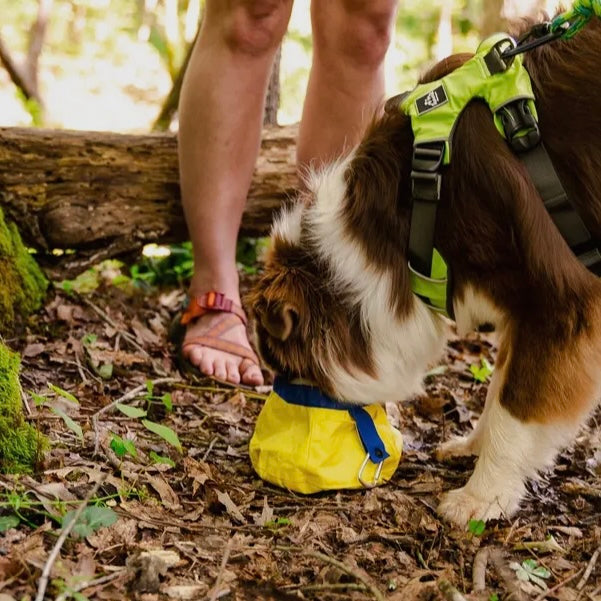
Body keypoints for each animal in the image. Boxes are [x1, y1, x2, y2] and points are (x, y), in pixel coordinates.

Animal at [245, 18, 600, 524]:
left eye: (283, 361)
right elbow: (499, 387)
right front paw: (473, 446)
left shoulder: (560, 299)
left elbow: (515, 404)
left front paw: (480, 496)